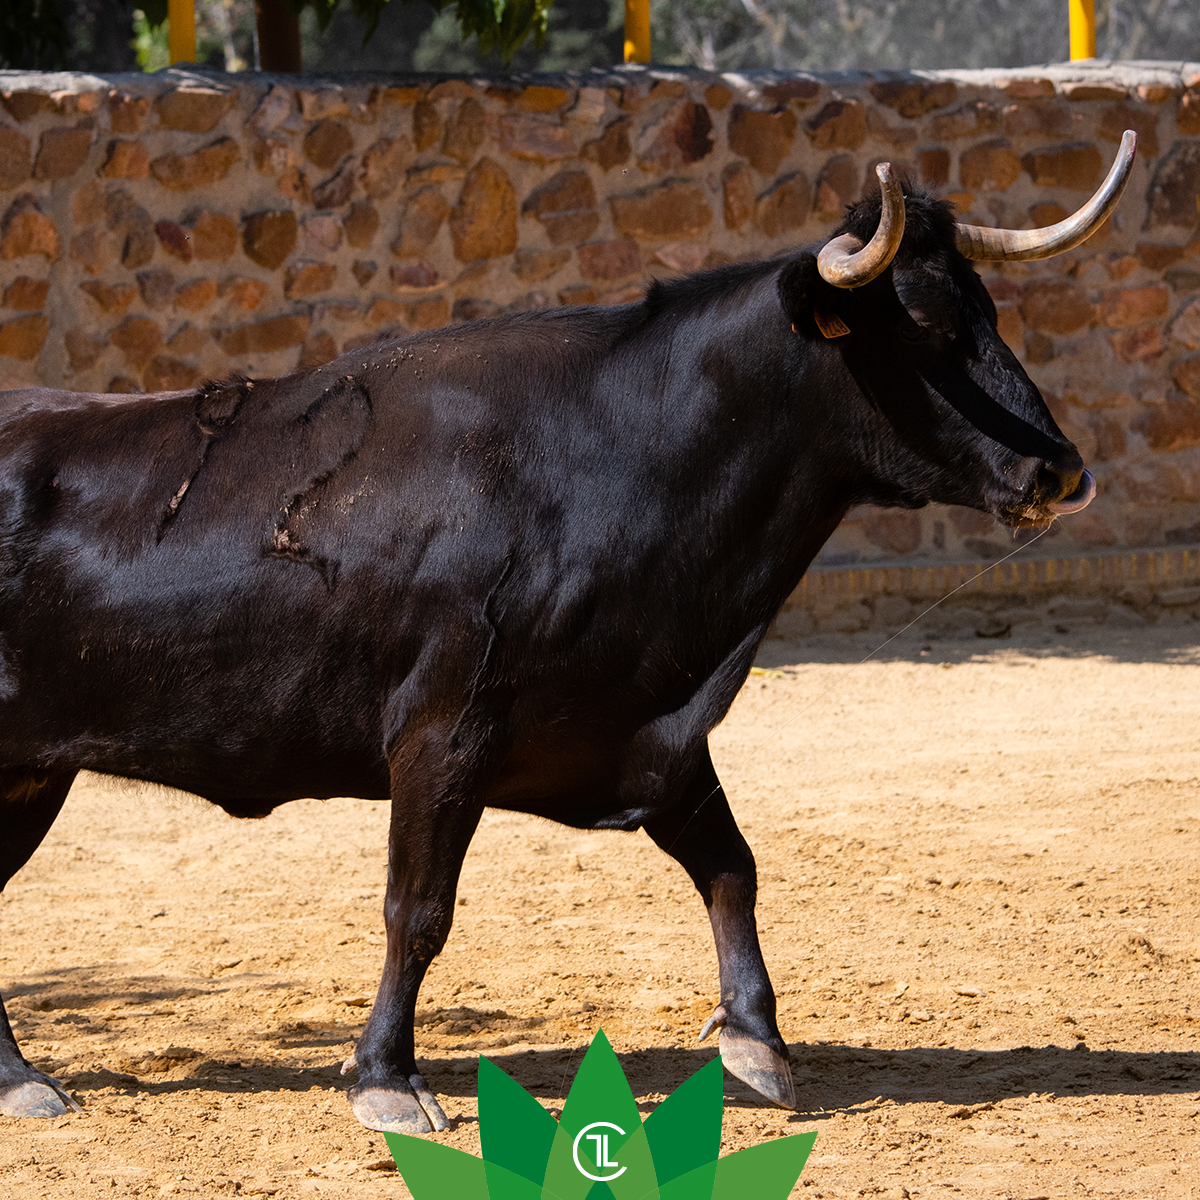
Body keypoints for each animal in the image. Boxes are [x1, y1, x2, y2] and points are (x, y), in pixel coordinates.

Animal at [0, 133, 1135, 1134]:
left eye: (989, 311)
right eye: (925, 331)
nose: (1063, 471)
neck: (611, 461)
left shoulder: (648, 737)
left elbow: (732, 865)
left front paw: (757, 1040)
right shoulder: (442, 741)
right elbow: (418, 910)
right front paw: (387, 1078)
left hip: (29, 776)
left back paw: (21, 1080)